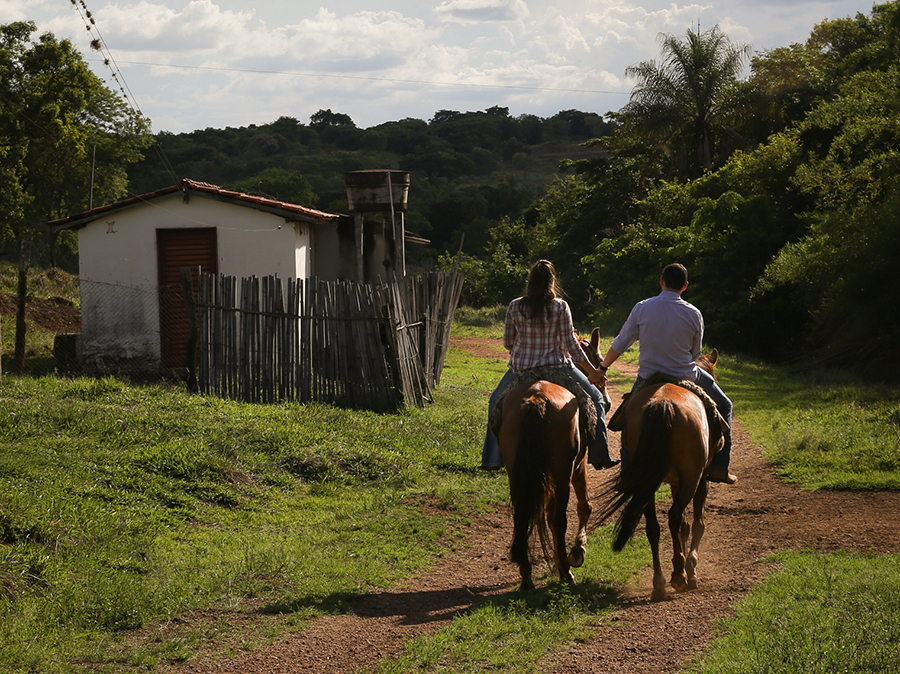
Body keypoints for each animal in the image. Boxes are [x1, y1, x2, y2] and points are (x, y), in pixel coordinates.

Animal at [494, 329, 607, 591]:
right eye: (598, 361)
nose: (606, 400)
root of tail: (537, 399)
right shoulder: (577, 468)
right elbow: (584, 506)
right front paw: (576, 553)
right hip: (562, 471)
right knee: (558, 519)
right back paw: (566, 572)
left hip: (518, 473)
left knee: (522, 515)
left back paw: (526, 574)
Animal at [598, 349, 728, 601]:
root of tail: (663, 403)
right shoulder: (701, 480)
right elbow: (696, 523)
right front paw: (691, 570)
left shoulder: (677, 482)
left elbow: (684, 526)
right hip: (691, 476)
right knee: (674, 516)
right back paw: (678, 576)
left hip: (647, 481)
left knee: (653, 526)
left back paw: (659, 583)